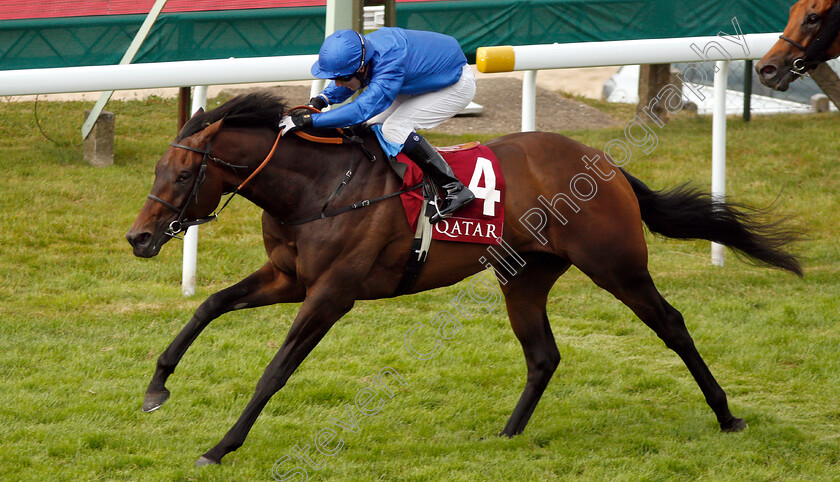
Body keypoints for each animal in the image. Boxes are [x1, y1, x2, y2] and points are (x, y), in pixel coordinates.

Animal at [124, 92, 800, 466]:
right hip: (523, 276)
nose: (138, 238)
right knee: (543, 355)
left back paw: (727, 415)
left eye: (181, 175)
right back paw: (506, 436)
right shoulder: (288, 277)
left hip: (617, 266)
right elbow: (210, 304)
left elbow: (275, 370)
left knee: (672, 325)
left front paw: (220, 446)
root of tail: (603, 163)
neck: (319, 188)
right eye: (156, 169)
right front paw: (157, 388)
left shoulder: (332, 294)